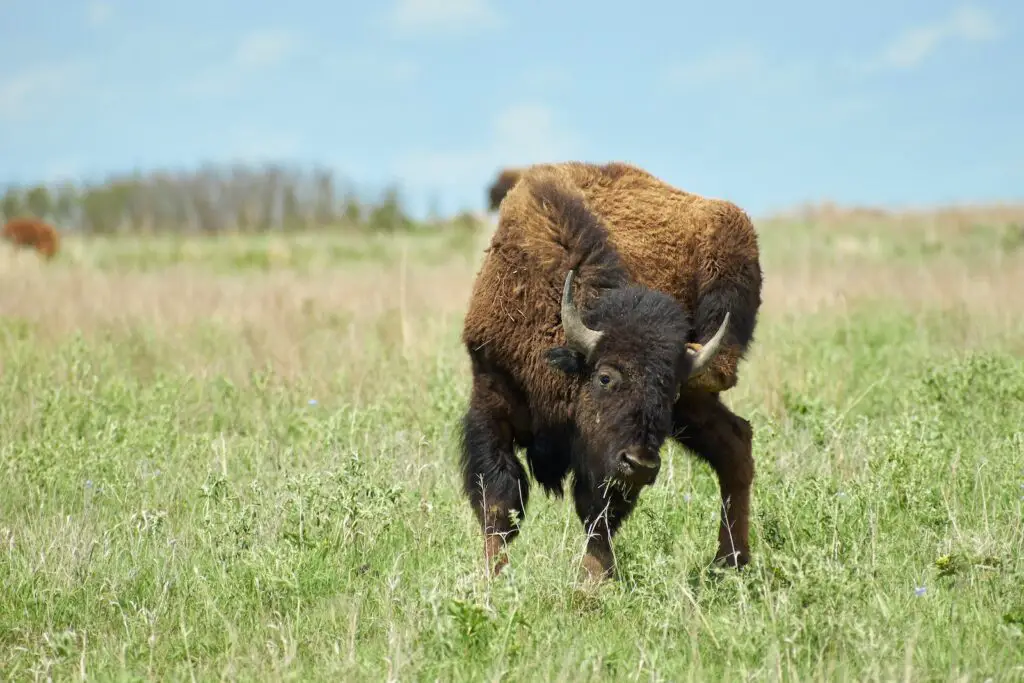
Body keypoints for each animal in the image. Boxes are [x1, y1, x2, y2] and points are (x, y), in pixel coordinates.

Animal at [460, 160, 765, 581]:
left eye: (668, 391)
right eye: (605, 377)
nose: (641, 464)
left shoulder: (608, 456)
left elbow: (599, 514)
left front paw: (591, 581)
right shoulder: (491, 401)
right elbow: (499, 504)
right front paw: (493, 577)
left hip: (696, 398)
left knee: (734, 446)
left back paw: (729, 562)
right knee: (735, 445)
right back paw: (730, 563)